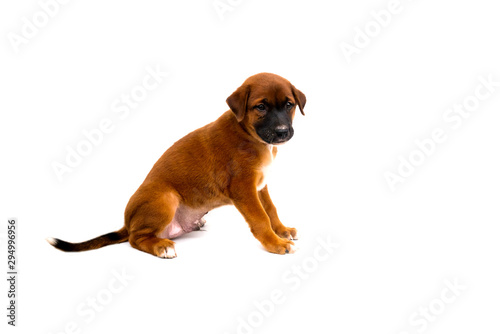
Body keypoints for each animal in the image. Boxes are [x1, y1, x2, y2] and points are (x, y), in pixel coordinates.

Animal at [47, 73, 304, 258]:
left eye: (289, 105)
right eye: (261, 107)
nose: (282, 132)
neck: (249, 134)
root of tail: (127, 223)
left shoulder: (260, 186)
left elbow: (270, 209)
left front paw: (281, 231)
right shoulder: (243, 188)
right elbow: (260, 218)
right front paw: (275, 243)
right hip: (165, 197)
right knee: (135, 239)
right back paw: (161, 247)